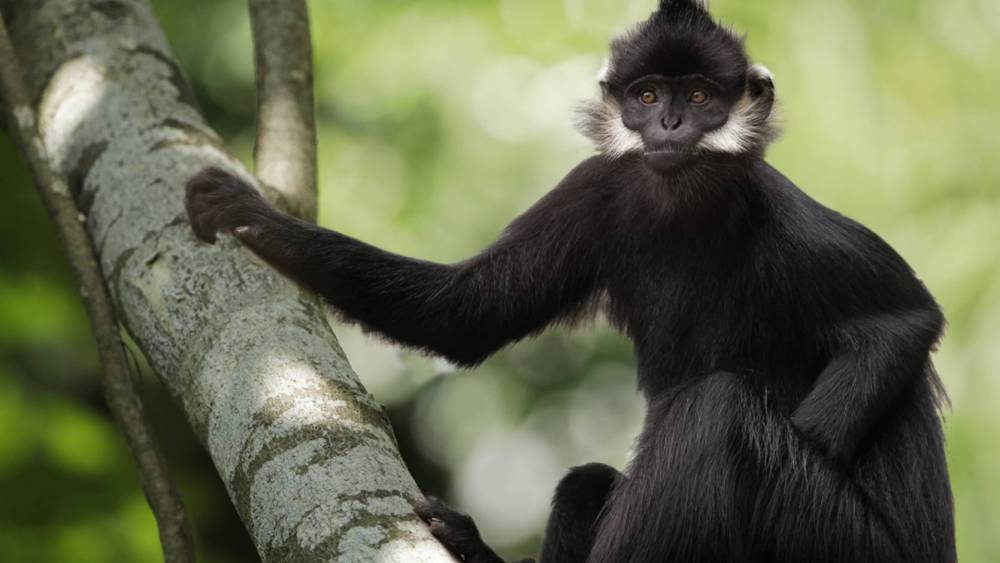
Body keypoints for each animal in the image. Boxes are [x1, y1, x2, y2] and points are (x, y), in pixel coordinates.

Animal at [184, 0, 956, 561]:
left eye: (700, 95)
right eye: (646, 94)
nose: (669, 121)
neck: (683, 211)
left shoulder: (776, 210)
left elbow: (906, 319)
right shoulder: (597, 189)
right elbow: (464, 313)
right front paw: (251, 215)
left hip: (838, 538)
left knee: (714, 415)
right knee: (592, 478)